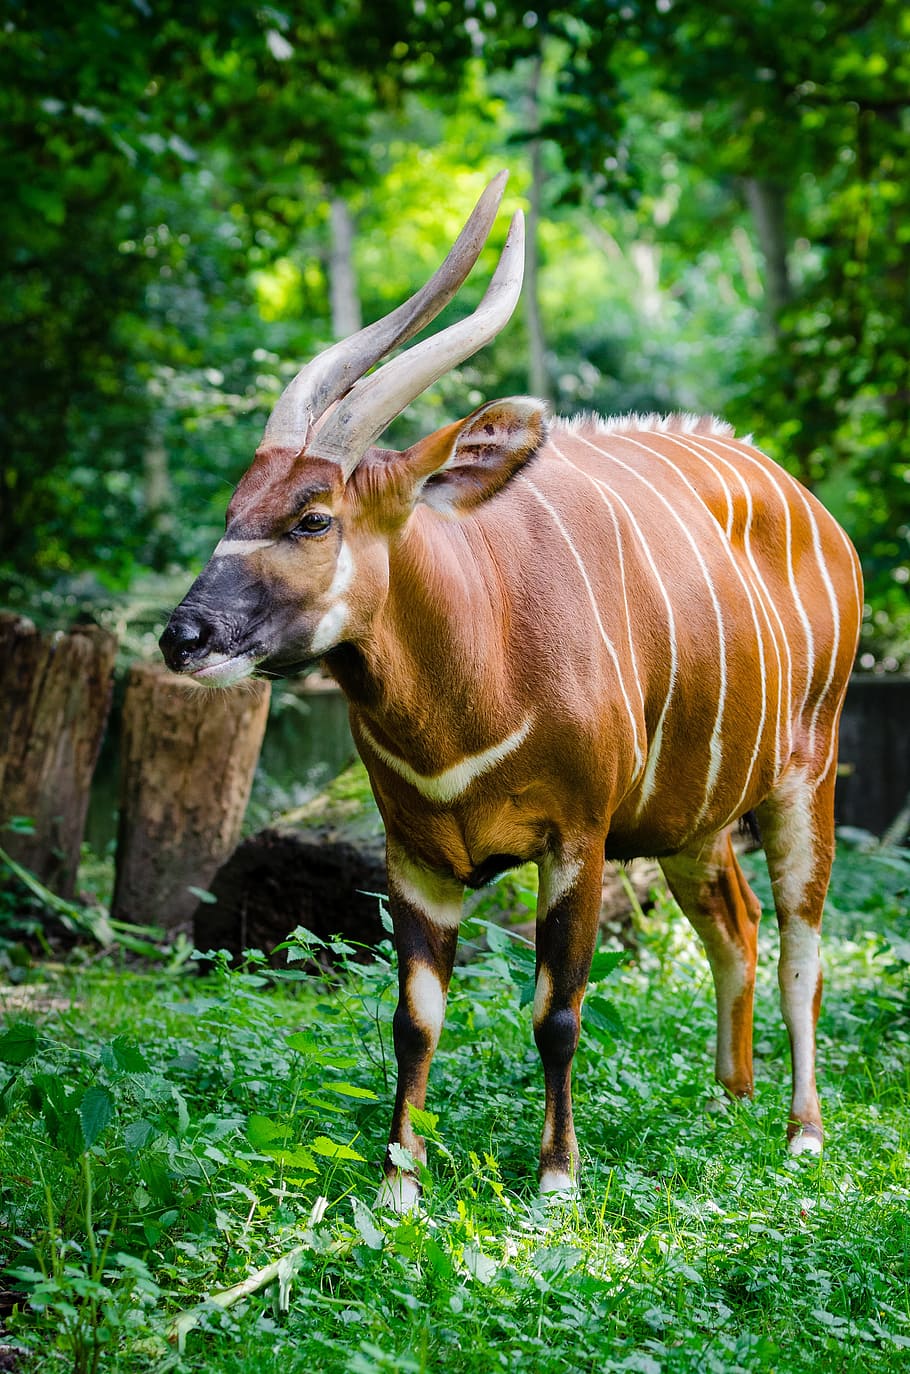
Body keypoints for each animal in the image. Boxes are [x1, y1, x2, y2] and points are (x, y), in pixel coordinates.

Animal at [160, 169, 868, 1203]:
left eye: (313, 517)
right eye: (232, 509)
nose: (183, 636)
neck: (474, 677)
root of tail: (818, 510)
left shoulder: (575, 839)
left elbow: (557, 1010)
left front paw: (558, 1180)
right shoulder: (416, 854)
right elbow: (414, 1018)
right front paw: (399, 1187)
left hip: (804, 778)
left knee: (800, 948)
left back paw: (803, 1134)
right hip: (691, 824)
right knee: (733, 930)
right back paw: (726, 1104)